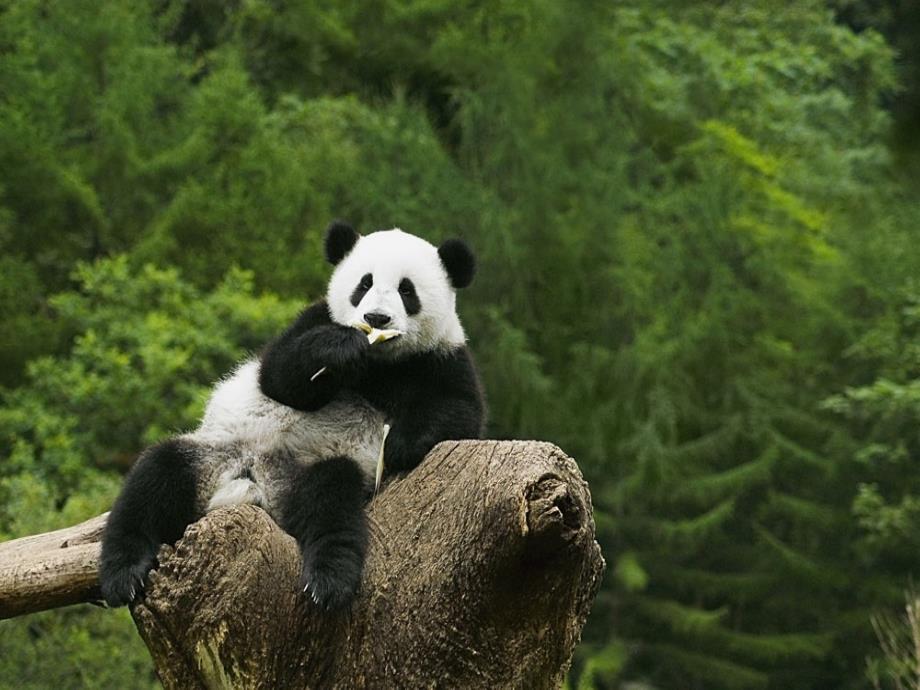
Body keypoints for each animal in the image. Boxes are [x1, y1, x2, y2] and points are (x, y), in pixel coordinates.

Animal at [99, 220, 486, 608]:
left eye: (407, 290)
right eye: (364, 284)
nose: (376, 318)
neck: (379, 363)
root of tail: (255, 481)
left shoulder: (441, 358)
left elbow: (460, 412)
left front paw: (399, 445)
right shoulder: (313, 319)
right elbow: (279, 375)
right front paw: (340, 349)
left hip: (312, 468)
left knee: (330, 502)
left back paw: (328, 580)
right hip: (213, 453)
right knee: (154, 479)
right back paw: (123, 574)